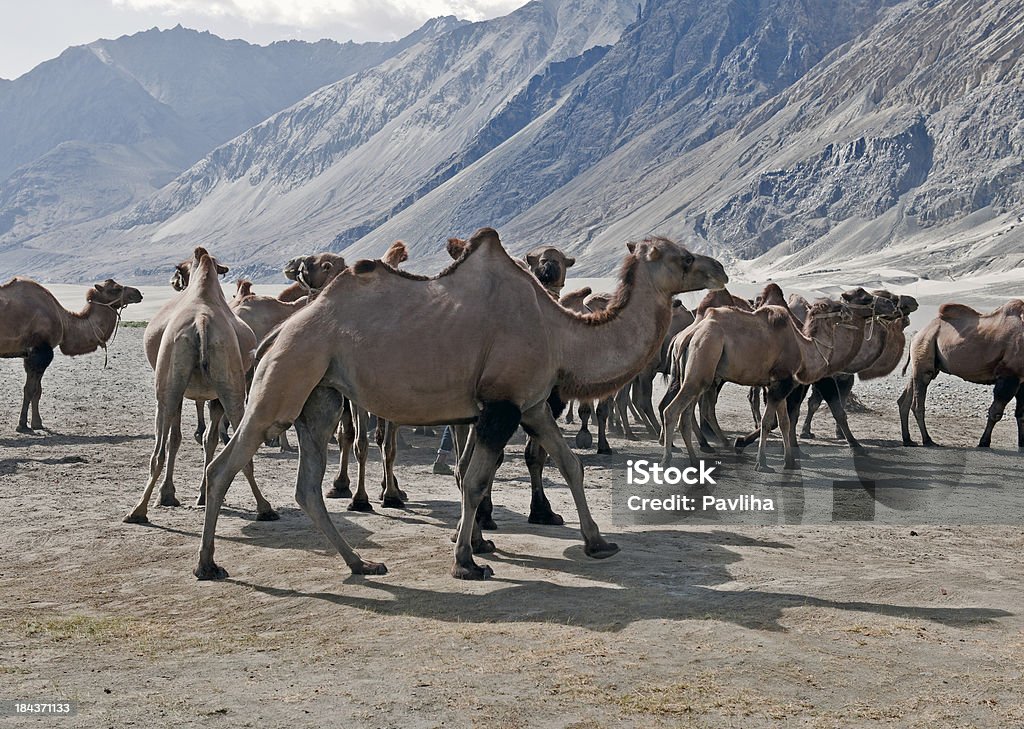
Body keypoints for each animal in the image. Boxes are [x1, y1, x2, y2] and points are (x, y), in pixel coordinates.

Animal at [0, 276, 142, 430]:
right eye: (115, 289)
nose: (138, 293)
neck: (64, 320)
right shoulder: (41, 352)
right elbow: (30, 389)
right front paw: (22, 425)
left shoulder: (30, 355)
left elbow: (38, 390)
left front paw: (37, 424)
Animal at [122, 248, 276, 524]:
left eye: (179, 269)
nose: (174, 281)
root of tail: (202, 323)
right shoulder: (212, 396)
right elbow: (206, 439)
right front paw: (200, 495)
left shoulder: (183, 391)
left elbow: (185, 439)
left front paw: (172, 494)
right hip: (230, 388)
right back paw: (264, 507)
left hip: (171, 387)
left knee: (158, 451)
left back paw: (138, 510)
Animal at [195, 227, 729, 581]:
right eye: (683, 259)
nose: (719, 268)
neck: (558, 331)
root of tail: (275, 334)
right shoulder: (501, 405)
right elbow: (472, 480)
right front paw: (467, 560)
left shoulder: (531, 404)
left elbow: (568, 465)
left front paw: (598, 542)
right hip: (282, 382)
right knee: (225, 464)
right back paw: (208, 564)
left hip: (319, 397)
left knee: (307, 486)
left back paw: (362, 563)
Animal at [897, 296, 1024, 446]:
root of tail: (917, 335)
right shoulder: (1009, 374)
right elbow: (996, 413)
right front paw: (983, 442)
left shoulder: (1022, 380)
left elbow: (1021, 414)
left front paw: (1022, 443)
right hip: (924, 346)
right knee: (918, 401)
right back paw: (927, 440)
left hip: (924, 356)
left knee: (906, 396)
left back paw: (908, 439)